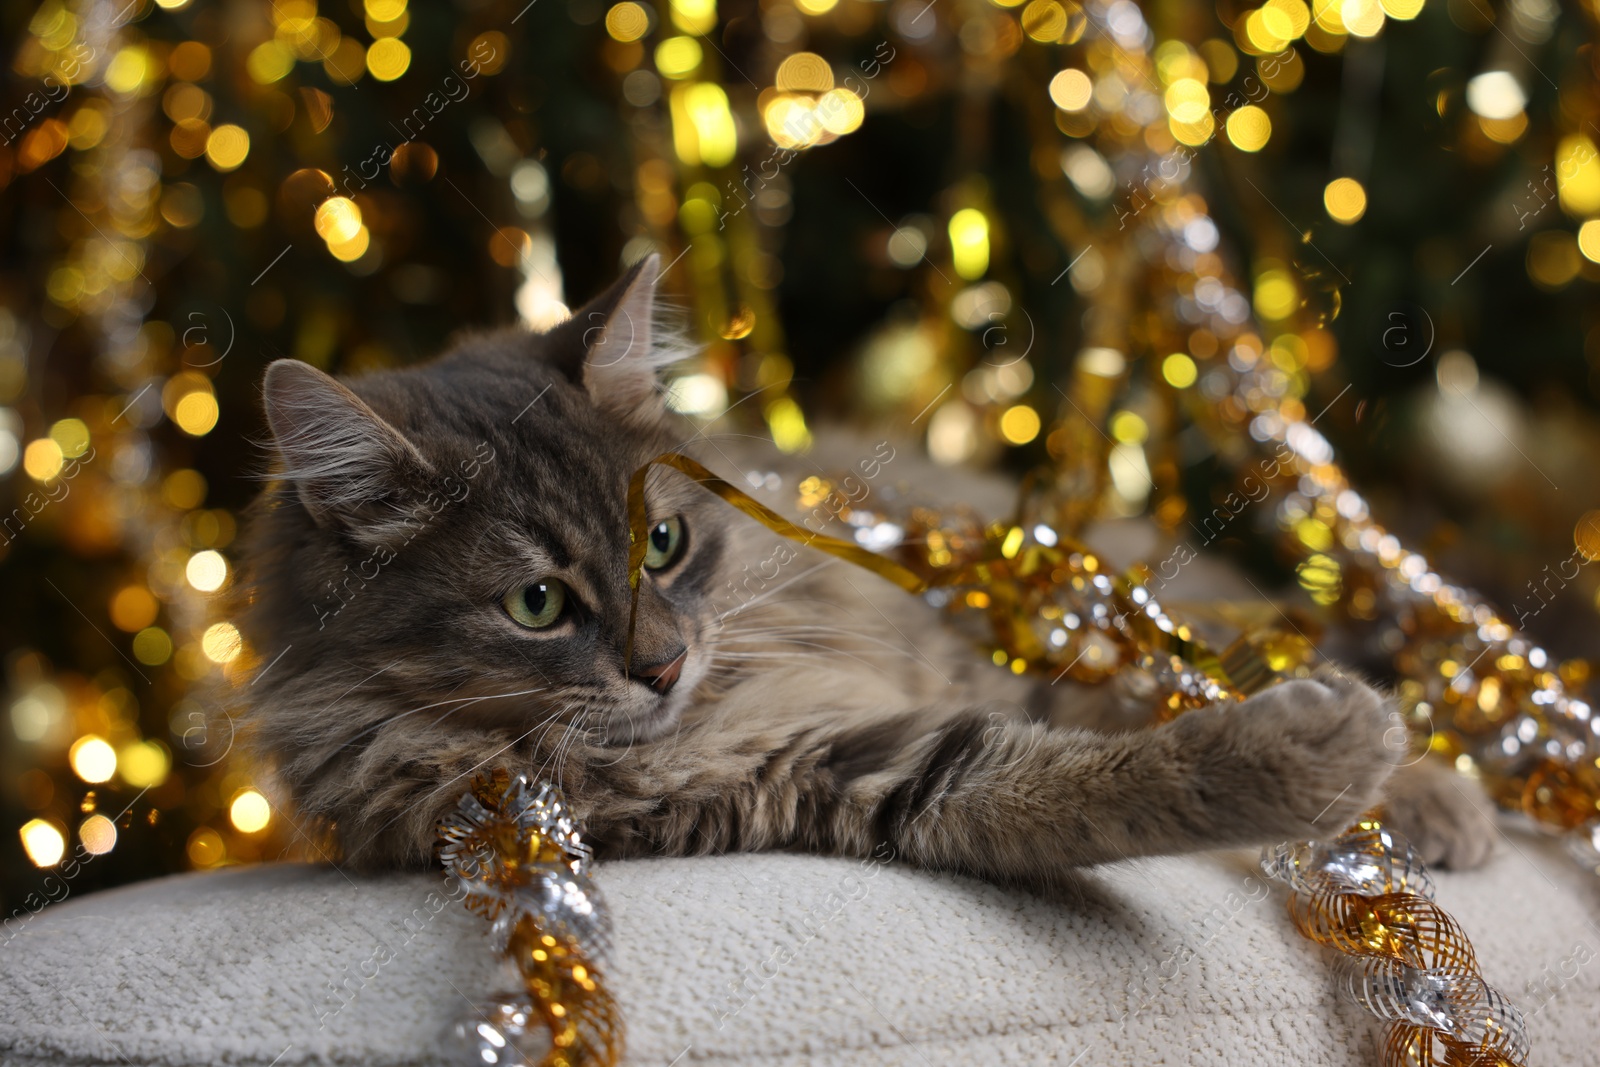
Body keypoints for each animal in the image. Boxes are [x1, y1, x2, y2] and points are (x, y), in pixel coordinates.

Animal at [236, 254, 1497, 889]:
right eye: (536, 603)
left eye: (664, 544)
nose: (663, 665)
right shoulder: (851, 769)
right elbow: (1117, 777)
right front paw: (1326, 750)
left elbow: (1160, 708)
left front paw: (1393, 766)